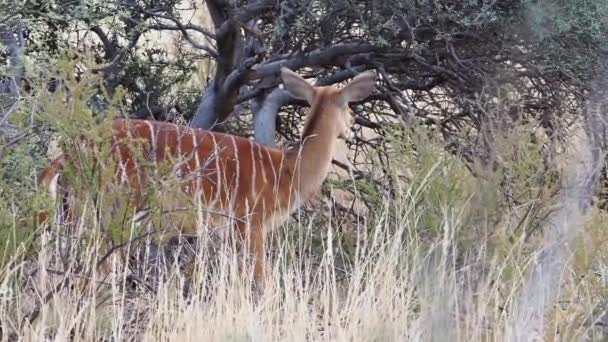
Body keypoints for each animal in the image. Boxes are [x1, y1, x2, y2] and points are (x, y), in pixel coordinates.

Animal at [38, 66, 376, 280]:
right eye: (349, 106)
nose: (351, 127)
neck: (288, 171)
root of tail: (67, 157)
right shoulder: (250, 220)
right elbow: (261, 277)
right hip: (109, 207)